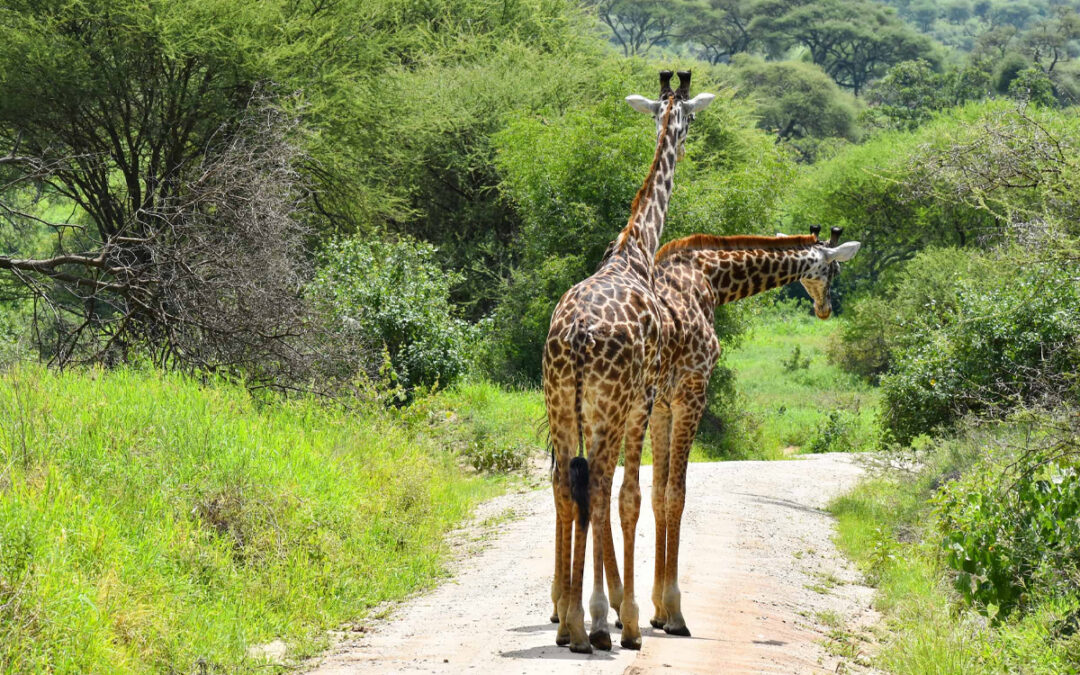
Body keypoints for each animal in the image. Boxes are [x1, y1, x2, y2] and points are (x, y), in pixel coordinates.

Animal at [544, 69, 712, 652]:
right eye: (689, 119)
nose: (684, 136)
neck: (635, 249)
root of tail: (574, 336)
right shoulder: (645, 399)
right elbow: (632, 496)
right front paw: (630, 617)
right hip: (609, 404)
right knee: (596, 486)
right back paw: (594, 624)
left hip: (560, 403)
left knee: (567, 487)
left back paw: (570, 624)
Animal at [643, 223, 864, 635]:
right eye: (834, 270)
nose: (825, 310)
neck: (710, 280)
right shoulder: (690, 394)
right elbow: (675, 495)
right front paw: (674, 613)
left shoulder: (662, 406)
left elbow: (658, 494)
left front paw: (658, 612)